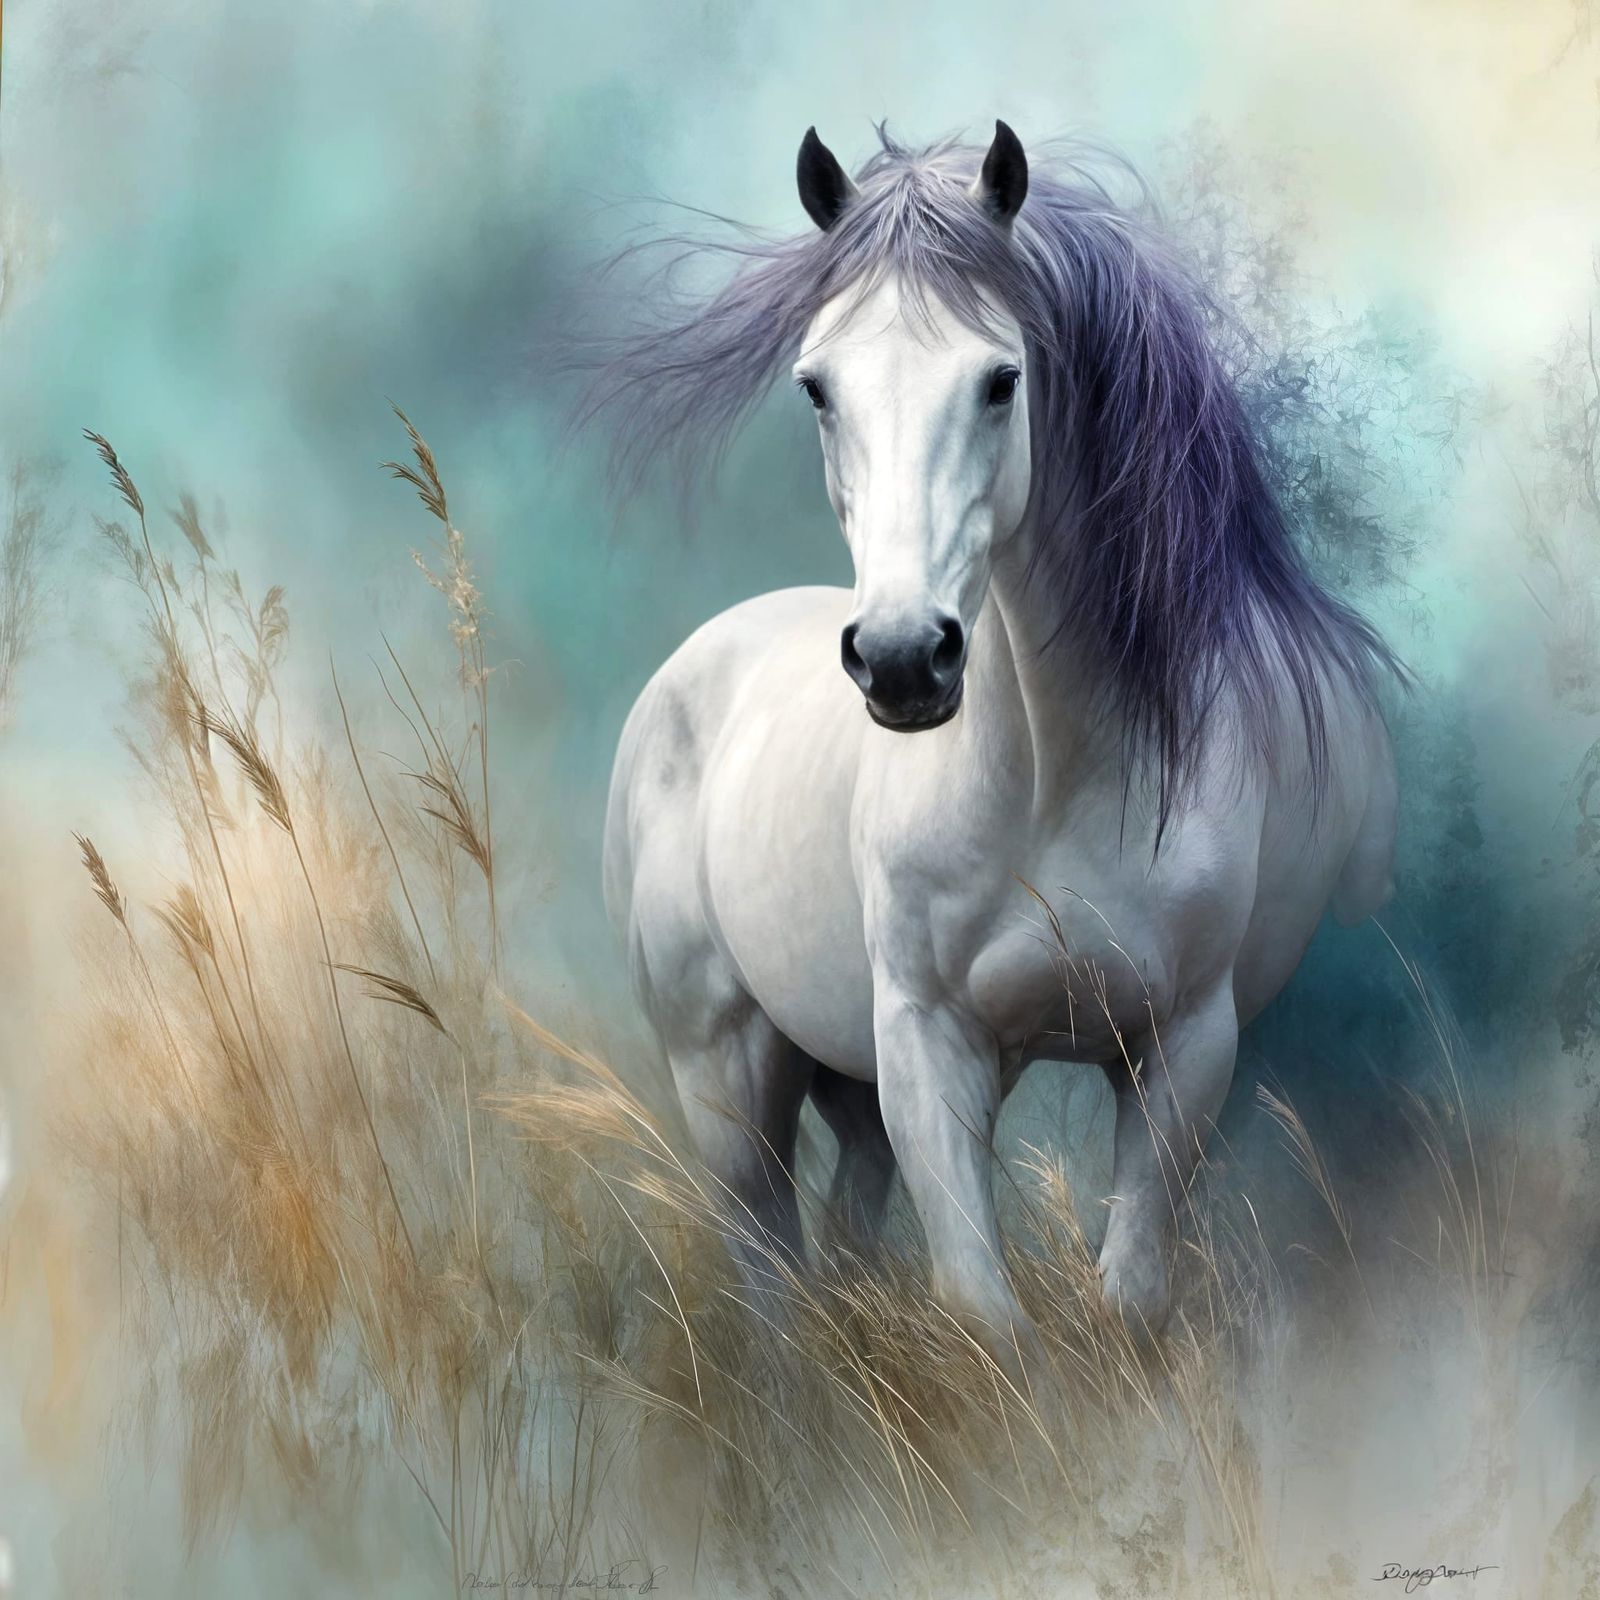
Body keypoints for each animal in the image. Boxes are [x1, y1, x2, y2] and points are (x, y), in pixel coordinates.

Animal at [587, 122, 1400, 1354]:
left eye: (1000, 380)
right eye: (817, 386)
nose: (901, 658)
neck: (1052, 785)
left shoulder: (1183, 1050)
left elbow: (1129, 1299)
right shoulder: (930, 1044)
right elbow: (981, 1312)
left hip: (847, 1086)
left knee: (840, 1236)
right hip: (727, 1076)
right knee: (768, 1273)